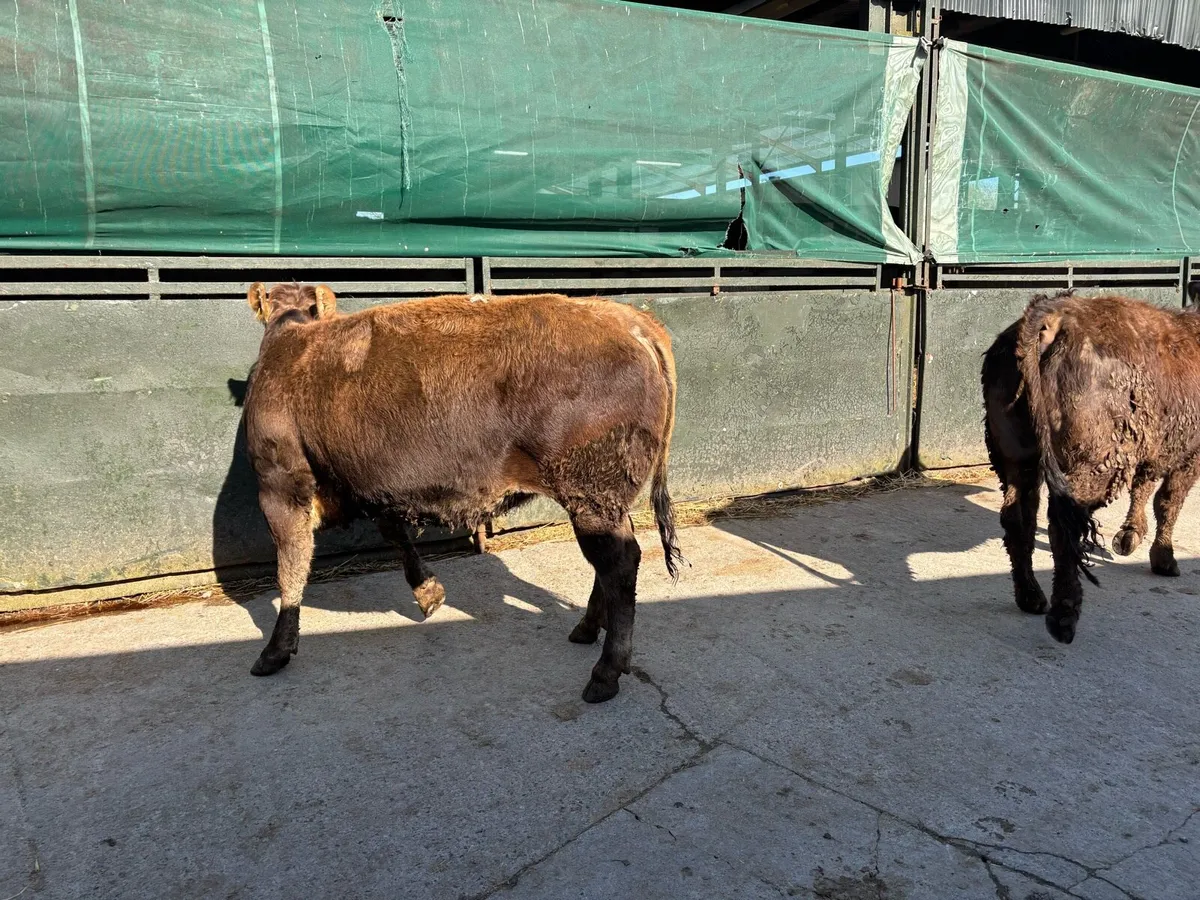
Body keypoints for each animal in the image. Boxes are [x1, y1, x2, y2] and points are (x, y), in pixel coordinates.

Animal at [242, 282, 684, 702]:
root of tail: (629, 319)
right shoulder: (374, 493)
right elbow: (393, 536)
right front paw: (429, 594)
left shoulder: (280, 488)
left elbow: (291, 569)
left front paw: (273, 651)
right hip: (601, 502)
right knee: (611, 563)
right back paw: (587, 628)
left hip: (591, 496)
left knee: (619, 565)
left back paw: (605, 673)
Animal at [983, 291, 1200, 643]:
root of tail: (1051, 316)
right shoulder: (1189, 455)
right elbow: (1168, 501)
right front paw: (1164, 558)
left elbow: (1144, 488)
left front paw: (1130, 535)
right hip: (1091, 464)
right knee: (1063, 525)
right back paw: (1064, 615)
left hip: (1017, 457)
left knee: (1017, 517)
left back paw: (1031, 596)